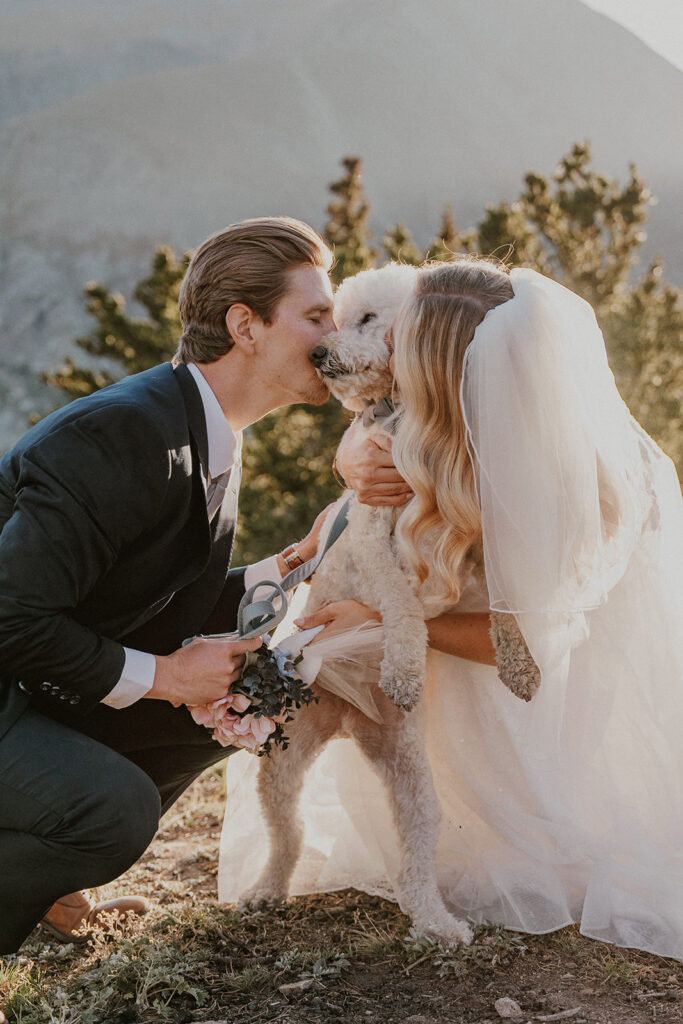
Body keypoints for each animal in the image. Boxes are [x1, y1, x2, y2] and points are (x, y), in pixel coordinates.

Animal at [239, 260, 475, 946]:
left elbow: (418, 602)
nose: (320, 354)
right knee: (288, 835)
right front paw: (401, 663)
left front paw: (403, 665)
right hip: (283, 760)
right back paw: (265, 890)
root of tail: (348, 719)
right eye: (329, 319)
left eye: (367, 318)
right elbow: (399, 598)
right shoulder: (371, 534)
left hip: (410, 777)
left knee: (417, 852)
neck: (400, 419)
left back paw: (435, 921)